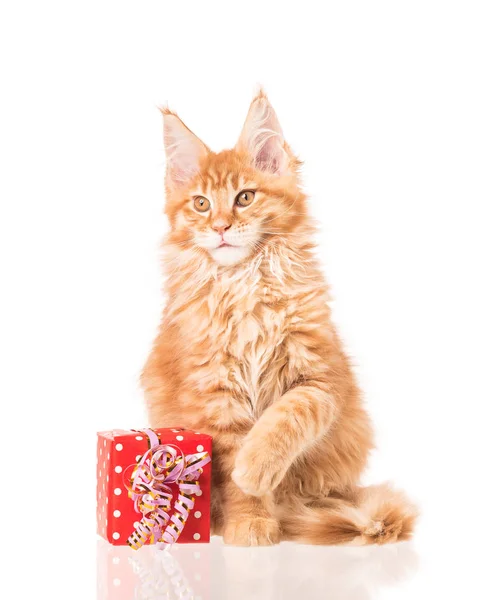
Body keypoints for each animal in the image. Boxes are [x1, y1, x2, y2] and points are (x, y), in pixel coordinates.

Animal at [141, 90, 416, 548]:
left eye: (245, 197)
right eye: (201, 204)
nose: (221, 227)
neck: (246, 285)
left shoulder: (321, 379)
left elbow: (286, 419)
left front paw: (256, 467)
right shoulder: (216, 393)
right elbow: (236, 469)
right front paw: (250, 520)